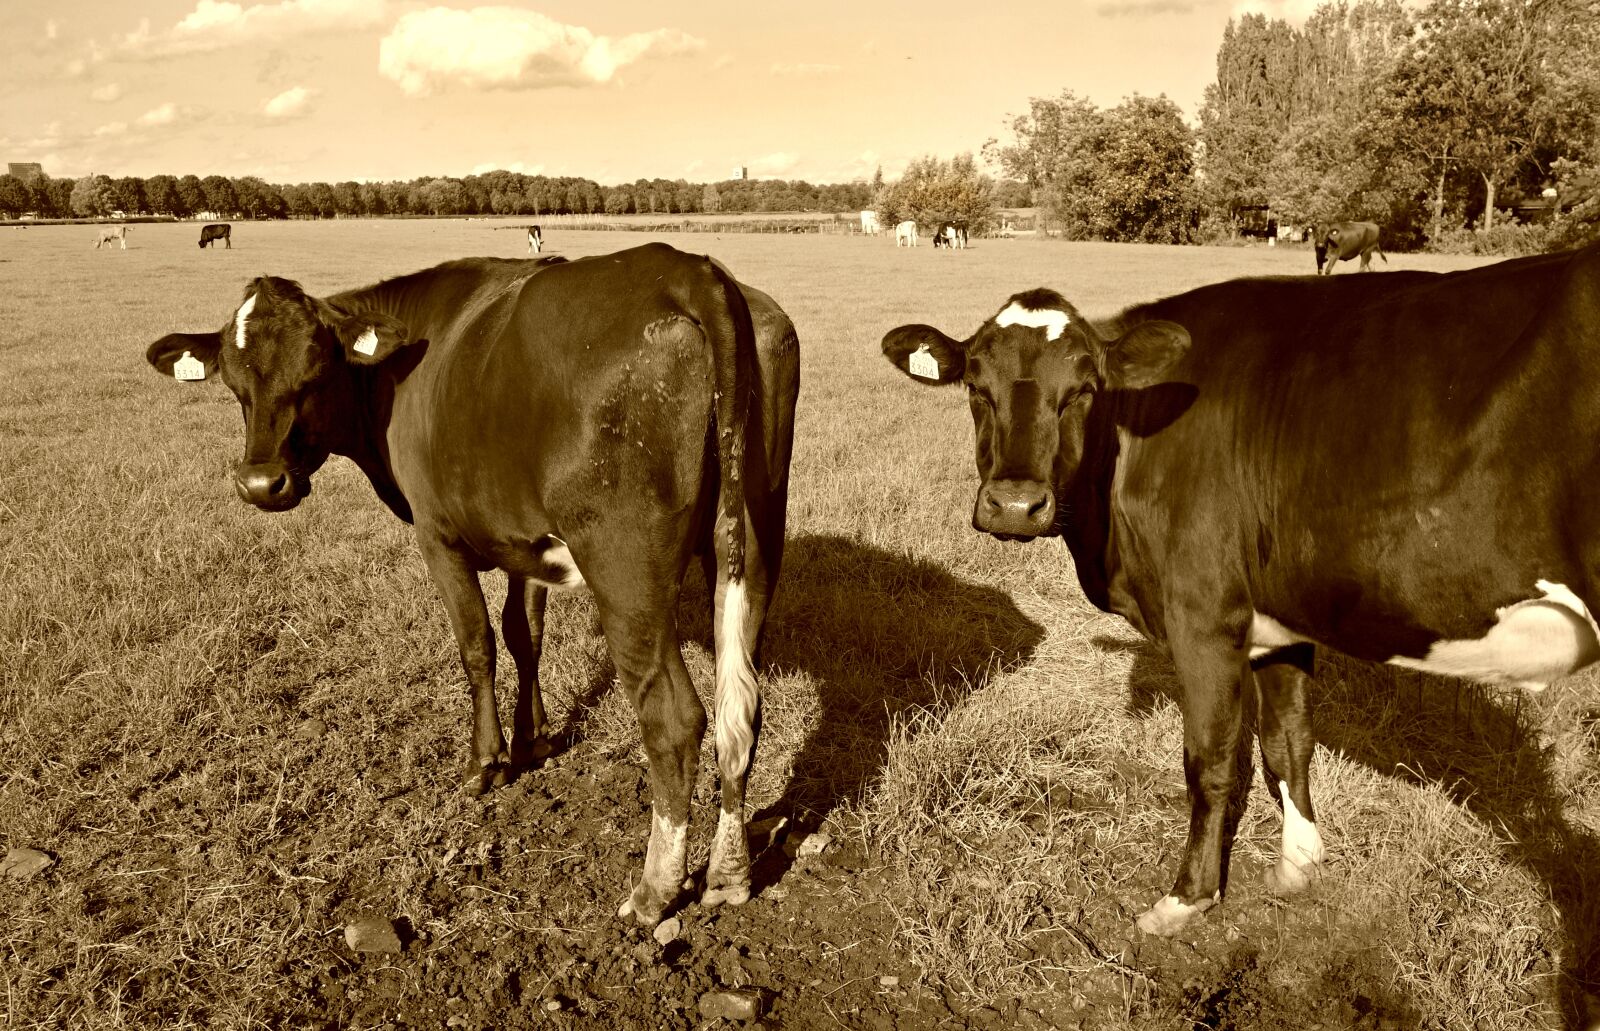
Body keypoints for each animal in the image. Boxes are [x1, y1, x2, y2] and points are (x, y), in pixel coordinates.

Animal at [146, 243, 800, 927]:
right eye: (233, 382)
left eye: (316, 371)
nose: (260, 483)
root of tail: (685, 267)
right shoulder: (523, 540)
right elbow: (524, 635)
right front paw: (534, 738)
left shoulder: (438, 537)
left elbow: (477, 643)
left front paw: (486, 760)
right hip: (753, 544)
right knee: (741, 706)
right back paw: (729, 872)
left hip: (625, 569)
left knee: (675, 717)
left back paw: (656, 888)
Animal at [881, 244, 1600, 939]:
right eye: (976, 386)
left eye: (1084, 389)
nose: (1014, 505)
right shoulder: (1279, 621)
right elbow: (1288, 742)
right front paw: (1299, 865)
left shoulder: (1205, 615)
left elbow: (1211, 760)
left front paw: (1187, 897)